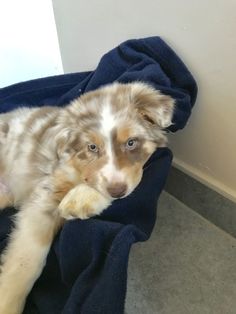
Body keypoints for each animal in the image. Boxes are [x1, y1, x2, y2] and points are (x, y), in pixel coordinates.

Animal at [0, 82, 173, 312]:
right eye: (92, 147)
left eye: (131, 142)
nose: (117, 191)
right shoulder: (46, 194)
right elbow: (26, 260)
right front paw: (7, 303)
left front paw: (81, 199)